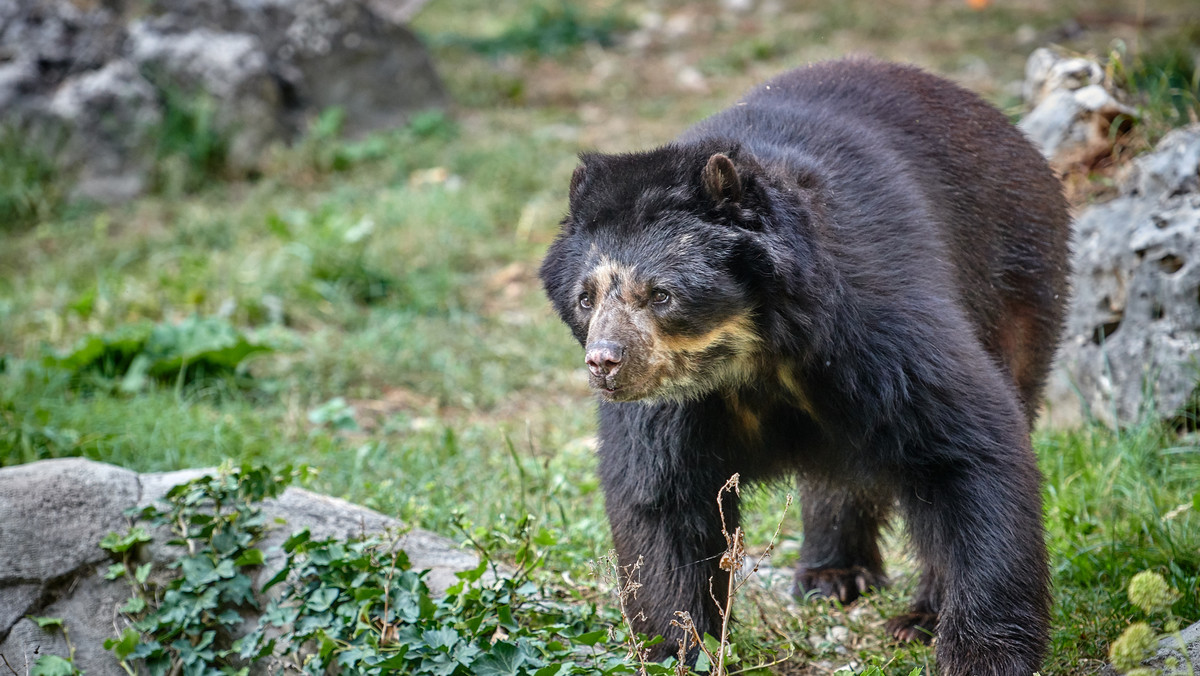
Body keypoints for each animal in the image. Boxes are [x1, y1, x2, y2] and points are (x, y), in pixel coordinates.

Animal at [540, 59, 1075, 676]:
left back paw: (912, 613)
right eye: (585, 298)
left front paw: (978, 652)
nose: (605, 362)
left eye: (661, 294)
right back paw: (829, 574)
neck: (754, 354)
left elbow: (967, 449)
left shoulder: (872, 321)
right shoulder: (672, 403)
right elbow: (658, 496)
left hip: (1016, 280)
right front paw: (679, 647)